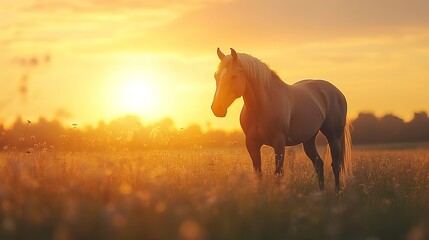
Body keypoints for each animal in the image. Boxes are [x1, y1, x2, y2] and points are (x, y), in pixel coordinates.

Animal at [211, 47, 352, 192]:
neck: (263, 106)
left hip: (333, 136)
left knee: (336, 165)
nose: (217, 108)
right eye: (216, 76)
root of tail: (337, 92)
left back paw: (337, 193)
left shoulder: (278, 143)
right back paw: (321, 192)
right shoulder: (252, 144)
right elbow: (258, 173)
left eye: (233, 76)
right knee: (319, 164)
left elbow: (279, 174)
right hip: (309, 140)